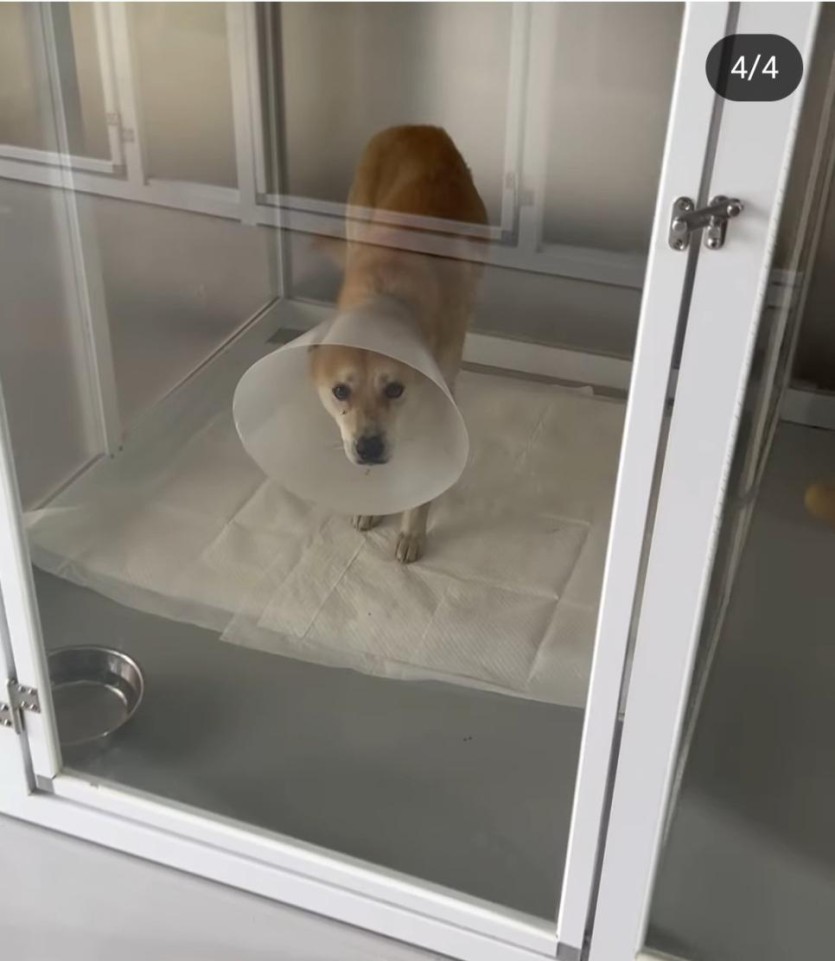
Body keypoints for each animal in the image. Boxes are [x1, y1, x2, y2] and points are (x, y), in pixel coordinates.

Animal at [309, 125, 487, 563]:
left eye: (394, 389)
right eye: (340, 391)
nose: (368, 447)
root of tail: (418, 128)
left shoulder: (439, 395)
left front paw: (411, 532)